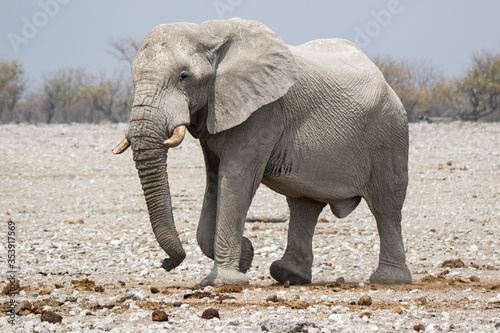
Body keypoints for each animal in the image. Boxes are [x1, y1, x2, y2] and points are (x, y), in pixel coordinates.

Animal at [115, 18, 412, 286]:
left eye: (184, 77)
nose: (166, 263)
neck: (209, 34)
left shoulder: (264, 112)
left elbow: (236, 179)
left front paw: (223, 280)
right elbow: (214, 182)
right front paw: (245, 257)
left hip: (390, 133)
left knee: (386, 205)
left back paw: (389, 280)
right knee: (304, 204)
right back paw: (289, 276)